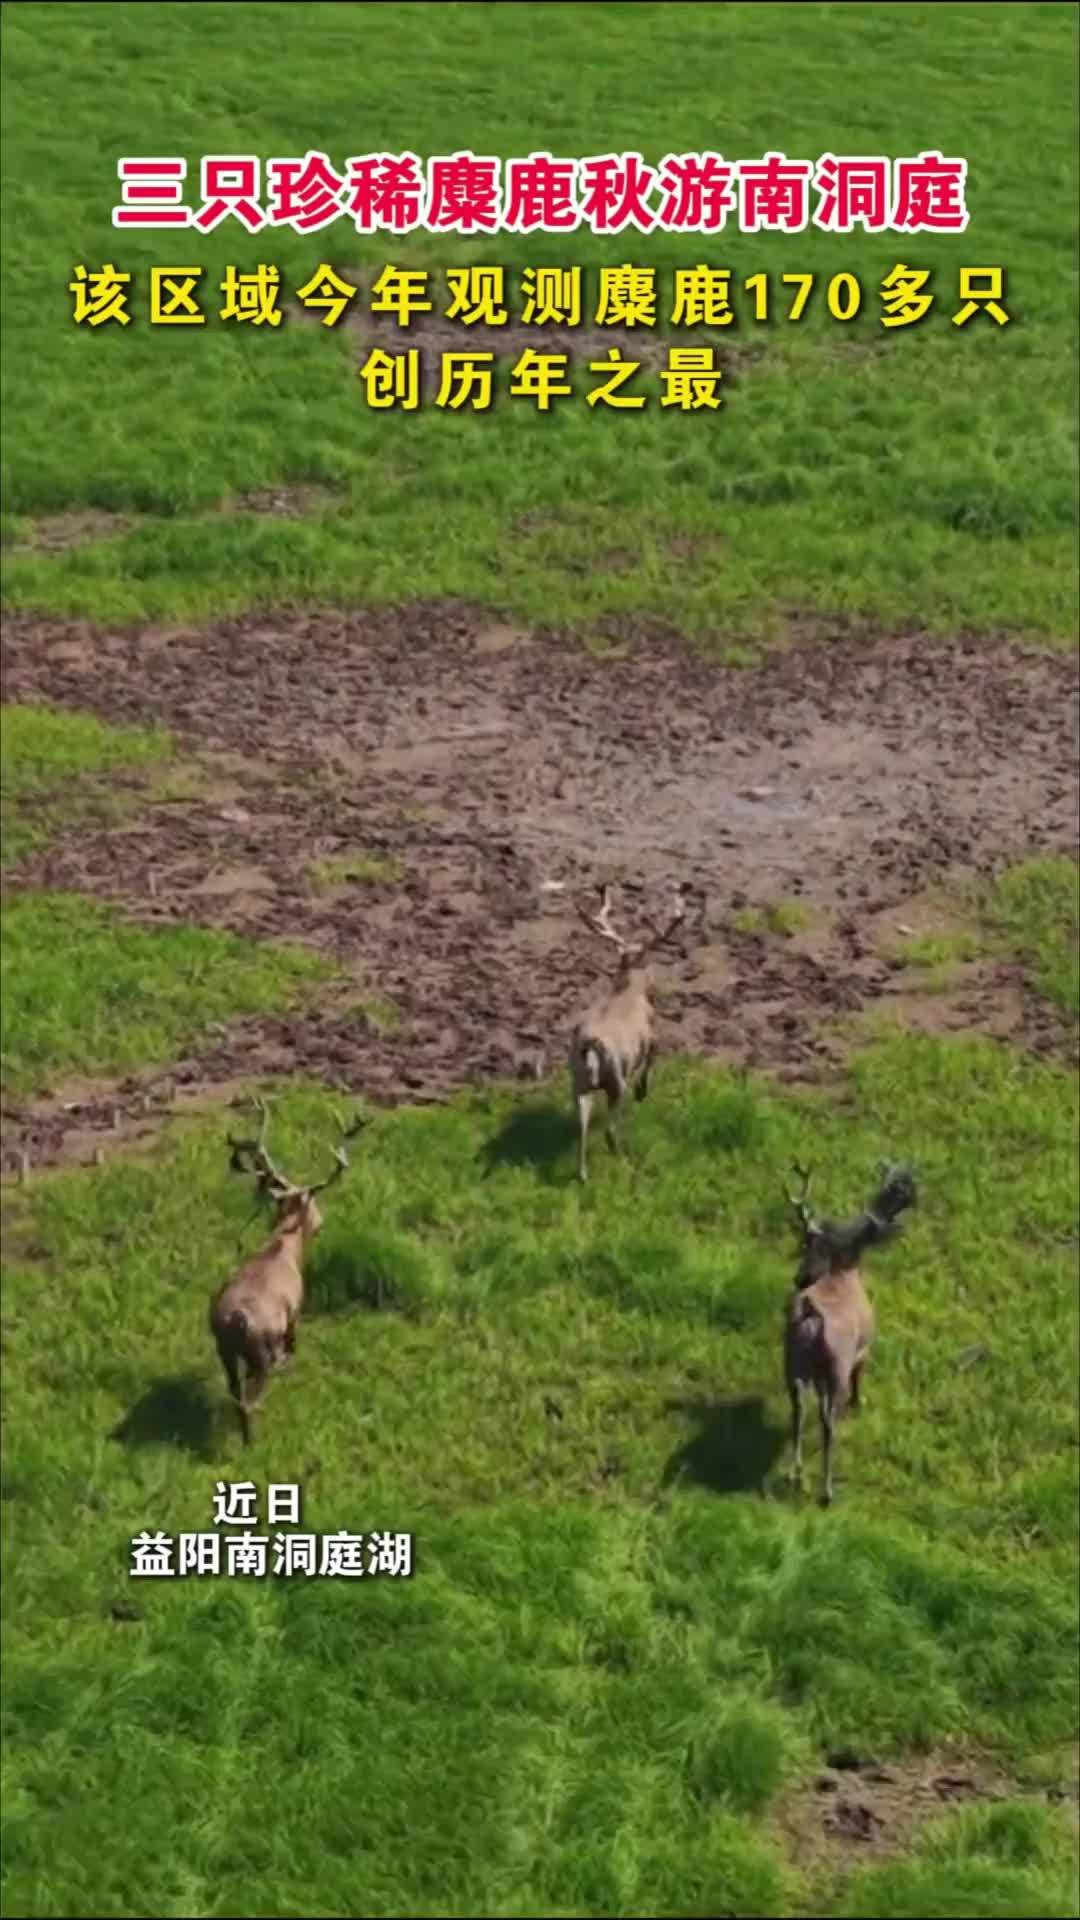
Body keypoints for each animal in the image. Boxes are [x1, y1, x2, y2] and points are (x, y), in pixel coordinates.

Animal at [209, 1097, 365, 1443]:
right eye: (314, 1208)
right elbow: (295, 1338)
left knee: (234, 1391)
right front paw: (293, 1355)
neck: (284, 1248)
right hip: (260, 1352)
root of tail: (236, 1320)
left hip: (223, 1349)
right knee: (250, 1398)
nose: (320, 1223)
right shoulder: (296, 1308)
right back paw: (252, 1440)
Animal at [569, 881, 689, 1183]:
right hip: (615, 1080)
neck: (629, 988)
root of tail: (591, 1045)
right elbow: (649, 1066)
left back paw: (583, 1174)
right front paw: (643, 1092)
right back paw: (625, 1160)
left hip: (578, 1082)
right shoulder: (654, 1038)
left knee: (582, 1125)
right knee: (611, 1130)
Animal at [783, 1159, 917, 1505]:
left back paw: (796, 1473)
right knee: (827, 1422)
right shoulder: (863, 1350)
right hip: (835, 1370)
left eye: (806, 1245)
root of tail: (811, 1318)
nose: (799, 1279)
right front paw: (862, 1401)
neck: (845, 1269)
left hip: (792, 1366)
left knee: (798, 1409)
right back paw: (827, 1489)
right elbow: (861, 1379)